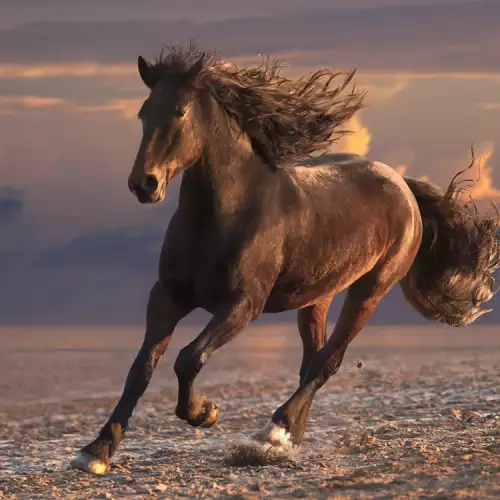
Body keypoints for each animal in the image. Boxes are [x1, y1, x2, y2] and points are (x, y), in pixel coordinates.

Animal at [71, 45, 500, 474]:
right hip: (317, 297)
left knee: (328, 361)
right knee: (312, 360)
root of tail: (402, 186)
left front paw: (204, 412)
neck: (227, 213)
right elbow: (141, 367)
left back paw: (275, 430)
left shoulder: (244, 304)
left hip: (370, 291)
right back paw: (288, 438)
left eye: (180, 111)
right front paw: (96, 450)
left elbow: (188, 358)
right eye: (143, 113)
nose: (144, 184)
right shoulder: (167, 296)